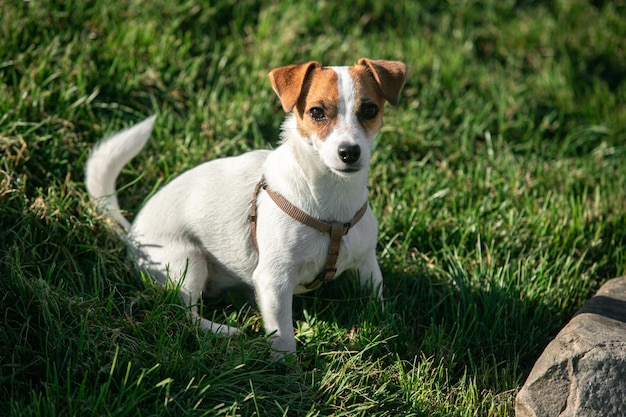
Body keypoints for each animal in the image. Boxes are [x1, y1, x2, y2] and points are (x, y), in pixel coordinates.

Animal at [85, 57, 408, 354]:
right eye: (316, 112)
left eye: (370, 110)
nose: (349, 152)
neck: (333, 202)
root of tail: (132, 233)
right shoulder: (273, 281)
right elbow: (283, 336)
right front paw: (288, 372)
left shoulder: (366, 263)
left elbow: (377, 296)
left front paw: (388, 325)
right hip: (186, 262)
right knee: (183, 312)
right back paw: (223, 331)